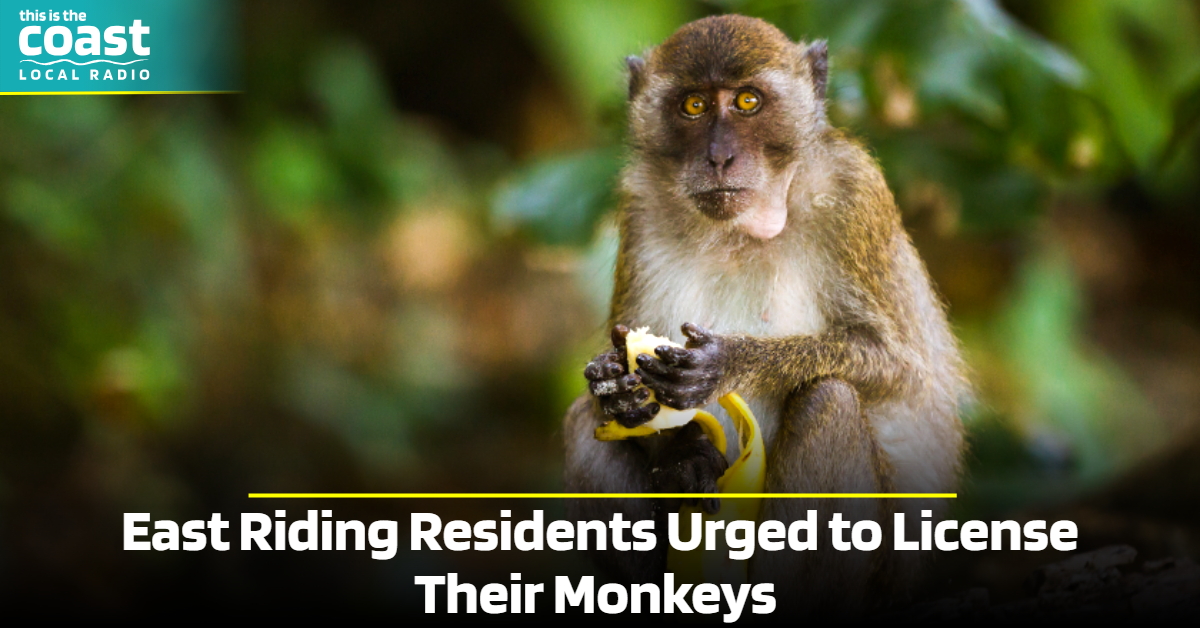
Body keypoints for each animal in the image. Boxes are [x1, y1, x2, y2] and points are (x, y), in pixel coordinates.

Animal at [562, 15, 967, 616]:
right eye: (694, 106)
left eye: (747, 101)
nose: (718, 158)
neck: (739, 230)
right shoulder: (640, 211)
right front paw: (637, 405)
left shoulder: (853, 193)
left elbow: (902, 368)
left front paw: (729, 362)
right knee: (583, 425)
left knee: (831, 401)